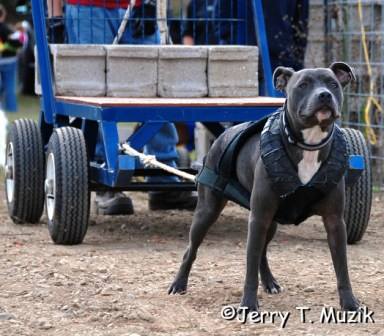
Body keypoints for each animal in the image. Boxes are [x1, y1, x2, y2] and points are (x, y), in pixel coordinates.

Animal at [168, 61, 360, 312]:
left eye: (333, 84)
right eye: (303, 85)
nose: (324, 95)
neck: (308, 145)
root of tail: (221, 137)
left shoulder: (335, 221)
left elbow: (342, 267)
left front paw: (350, 303)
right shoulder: (259, 217)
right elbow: (249, 267)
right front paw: (249, 304)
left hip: (270, 223)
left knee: (261, 253)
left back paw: (269, 282)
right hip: (207, 213)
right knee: (191, 250)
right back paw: (178, 284)